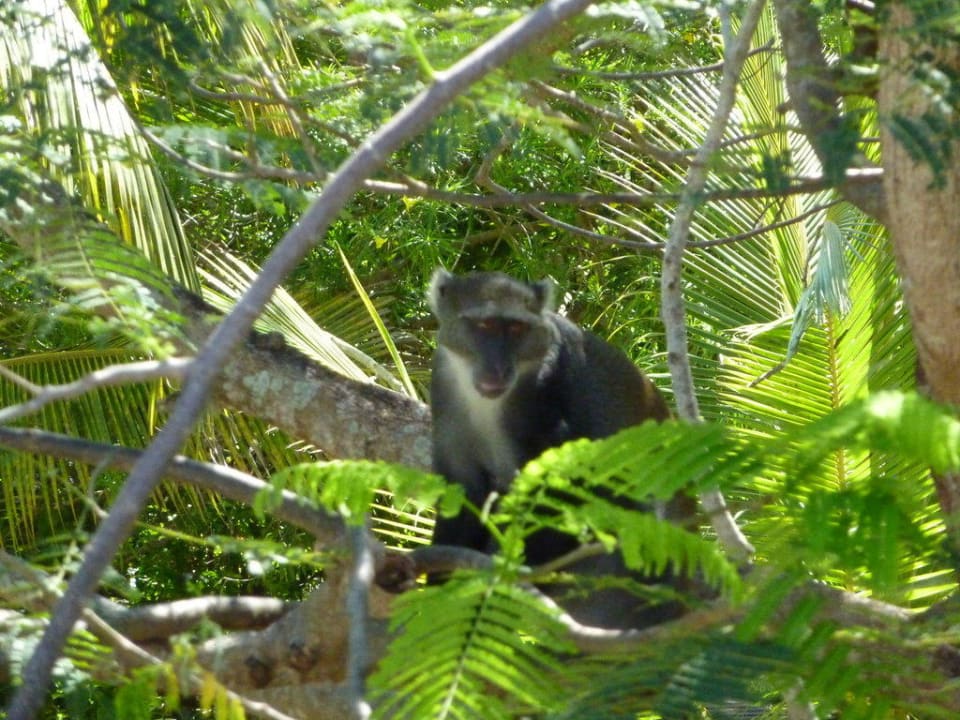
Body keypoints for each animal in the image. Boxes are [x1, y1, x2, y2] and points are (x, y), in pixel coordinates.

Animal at [428, 269, 687, 627]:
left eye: (516, 329)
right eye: (486, 326)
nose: (499, 368)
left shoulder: (547, 392)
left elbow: (563, 491)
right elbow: (465, 493)